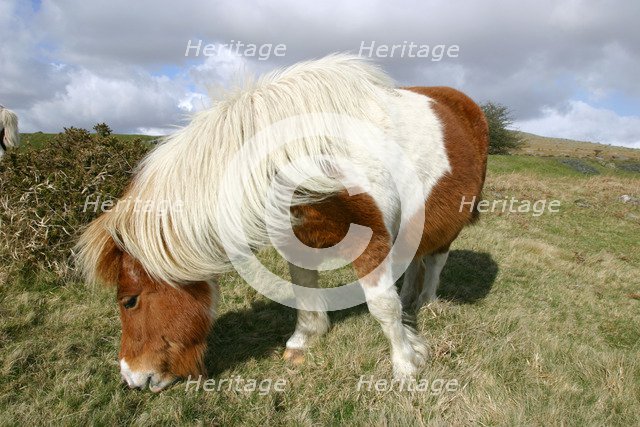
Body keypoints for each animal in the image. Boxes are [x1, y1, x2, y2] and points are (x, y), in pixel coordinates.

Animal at [75, 54, 488, 392]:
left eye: (129, 301)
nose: (132, 379)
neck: (307, 155)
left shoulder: (372, 241)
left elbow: (382, 306)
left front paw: (406, 363)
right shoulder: (296, 239)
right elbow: (304, 292)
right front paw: (304, 340)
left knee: (436, 259)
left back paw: (428, 302)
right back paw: (412, 303)